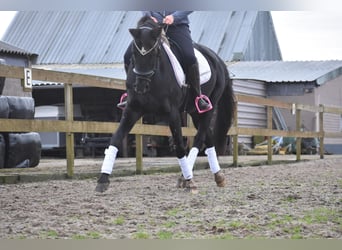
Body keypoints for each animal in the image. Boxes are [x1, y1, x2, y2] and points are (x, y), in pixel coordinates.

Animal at [96, 16, 235, 193]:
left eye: (155, 52)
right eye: (133, 54)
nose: (140, 87)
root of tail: (217, 59)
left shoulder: (173, 113)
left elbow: (179, 146)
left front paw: (190, 181)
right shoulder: (132, 110)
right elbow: (116, 138)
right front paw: (102, 180)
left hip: (208, 108)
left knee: (199, 138)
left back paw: (186, 177)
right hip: (194, 111)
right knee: (207, 137)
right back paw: (217, 176)